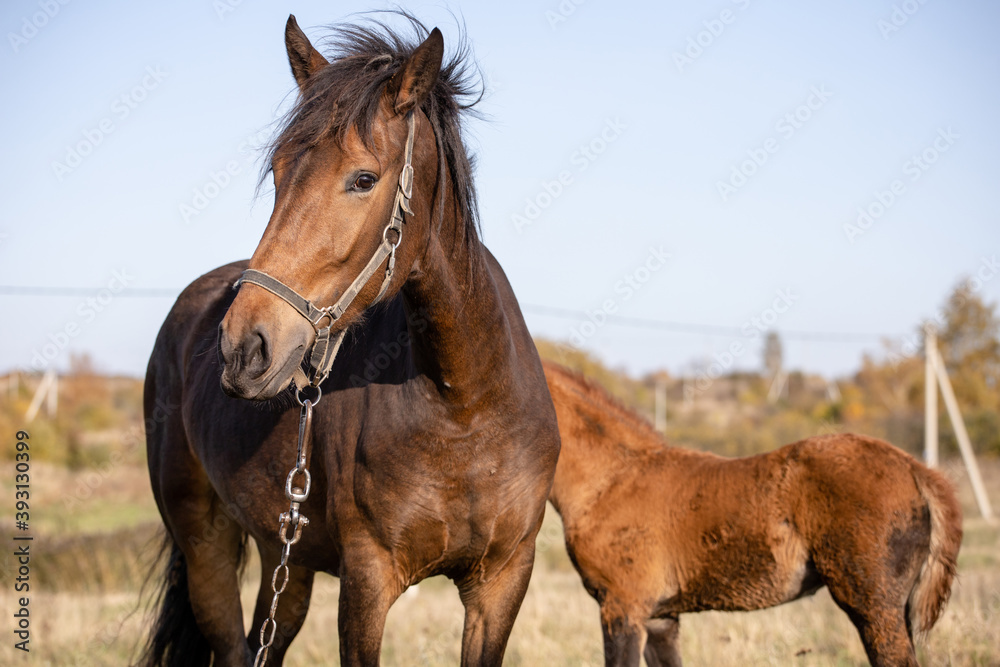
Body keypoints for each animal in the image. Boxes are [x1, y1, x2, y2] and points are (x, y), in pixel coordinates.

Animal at [140, 15, 560, 666]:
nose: (243, 347)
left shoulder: (503, 580)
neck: (465, 408)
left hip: (285, 558)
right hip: (204, 542)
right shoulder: (368, 579)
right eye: (279, 171)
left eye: (363, 179)